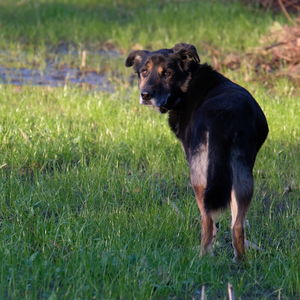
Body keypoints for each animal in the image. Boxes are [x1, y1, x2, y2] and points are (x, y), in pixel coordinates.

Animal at [125, 43, 268, 262]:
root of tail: (223, 116)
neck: (189, 83)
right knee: (236, 225)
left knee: (207, 220)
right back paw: (240, 261)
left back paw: (201, 257)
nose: (146, 95)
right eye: (144, 72)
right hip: (241, 172)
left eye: (167, 73)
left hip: (199, 176)